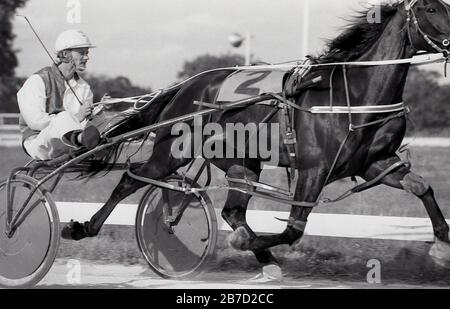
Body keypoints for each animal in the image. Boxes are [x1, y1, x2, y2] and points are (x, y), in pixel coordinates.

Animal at [62, 0, 450, 276]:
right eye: (431, 8)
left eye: (445, 5)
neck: (354, 95)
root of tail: (183, 87)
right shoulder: (314, 169)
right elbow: (293, 229)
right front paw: (249, 243)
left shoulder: (375, 164)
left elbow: (423, 188)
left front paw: (442, 247)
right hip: (172, 151)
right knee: (130, 180)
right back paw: (84, 227)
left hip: (241, 162)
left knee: (232, 210)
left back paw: (265, 260)